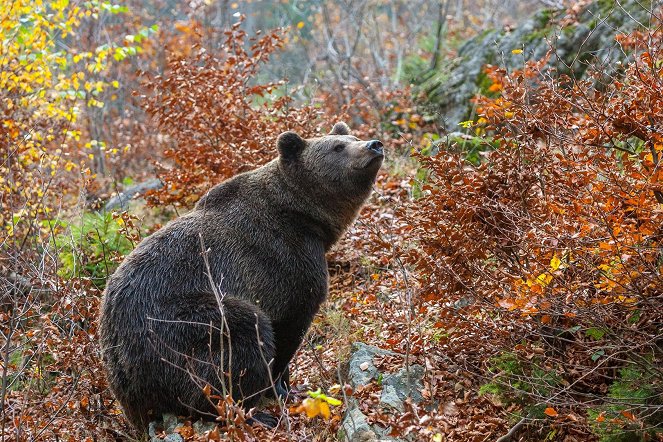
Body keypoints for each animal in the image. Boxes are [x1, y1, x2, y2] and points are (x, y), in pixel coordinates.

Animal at [101, 122, 386, 430]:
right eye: (338, 147)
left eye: (352, 136)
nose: (374, 144)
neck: (305, 216)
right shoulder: (286, 260)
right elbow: (289, 325)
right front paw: (282, 387)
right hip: (172, 324)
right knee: (241, 330)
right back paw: (251, 413)